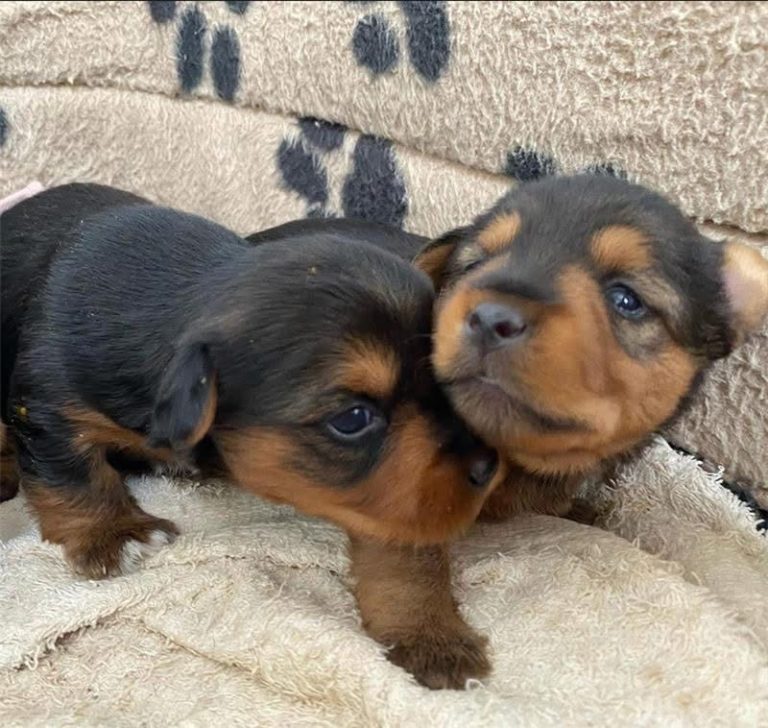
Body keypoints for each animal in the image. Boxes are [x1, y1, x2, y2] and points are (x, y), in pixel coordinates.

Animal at [0, 182, 500, 688]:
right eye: (353, 418)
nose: (489, 467)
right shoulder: (47, 403)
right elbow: (75, 476)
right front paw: (113, 532)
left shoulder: (392, 489)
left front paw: (426, 630)